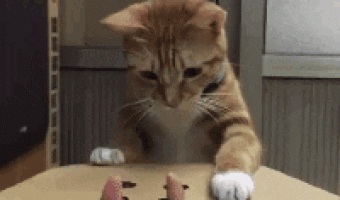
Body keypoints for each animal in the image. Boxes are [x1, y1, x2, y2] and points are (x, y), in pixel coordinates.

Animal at [89, 0, 262, 199]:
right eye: (148, 74)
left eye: (193, 71)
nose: (171, 102)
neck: (178, 117)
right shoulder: (134, 114)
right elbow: (128, 136)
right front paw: (113, 151)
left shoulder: (236, 122)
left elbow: (238, 146)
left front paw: (232, 178)